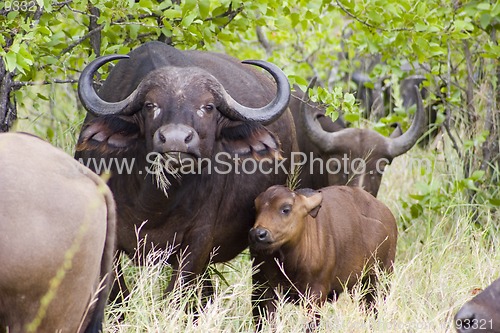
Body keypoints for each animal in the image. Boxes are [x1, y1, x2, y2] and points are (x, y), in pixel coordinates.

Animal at [76, 41, 294, 298]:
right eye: (150, 105)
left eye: (208, 107)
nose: (175, 139)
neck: (154, 201)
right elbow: (117, 293)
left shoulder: (198, 240)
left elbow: (175, 293)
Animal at [250, 185, 398, 328]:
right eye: (256, 208)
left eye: (285, 209)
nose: (258, 234)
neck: (288, 263)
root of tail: (388, 216)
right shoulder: (262, 290)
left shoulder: (315, 294)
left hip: (381, 279)